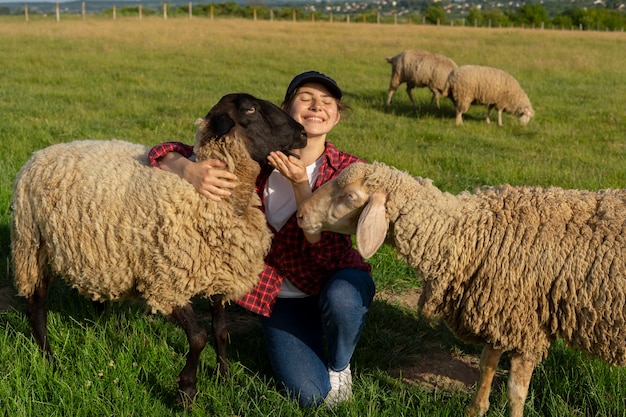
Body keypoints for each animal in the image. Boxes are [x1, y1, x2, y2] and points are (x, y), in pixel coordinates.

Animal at [11, 92, 308, 408]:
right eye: (250, 109)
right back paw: (50, 359)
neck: (208, 198)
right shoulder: (166, 282)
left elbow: (220, 331)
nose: (303, 134)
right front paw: (186, 391)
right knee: (36, 306)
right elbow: (198, 337)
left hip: (95, 254)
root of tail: (37, 154)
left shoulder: (218, 275)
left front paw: (224, 376)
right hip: (33, 246)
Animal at [296, 162, 624, 416]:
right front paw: (475, 409)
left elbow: (515, 390)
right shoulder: (496, 310)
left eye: (349, 196)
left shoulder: (524, 323)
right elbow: (486, 365)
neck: (466, 232)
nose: (300, 215)